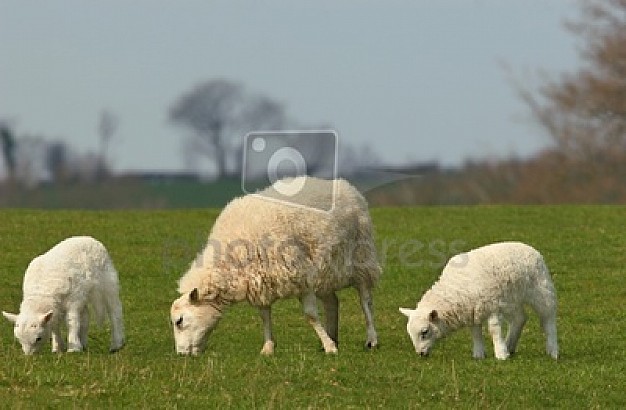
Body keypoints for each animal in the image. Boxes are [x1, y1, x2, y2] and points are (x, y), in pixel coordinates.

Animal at [168, 176, 378, 356]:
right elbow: (265, 317)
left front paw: (329, 347)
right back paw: (333, 336)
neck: (231, 260)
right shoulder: (260, 283)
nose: (181, 354)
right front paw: (268, 348)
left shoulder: (301, 276)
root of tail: (343, 184)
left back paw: (371, 339)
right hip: (323, 271)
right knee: (332, 302)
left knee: (365, 300)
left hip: (361, 258)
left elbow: (310, 315)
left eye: (179, 321)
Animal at [398, 242, 560, 360]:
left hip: (542, 290)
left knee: (548, 319)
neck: (455, 289)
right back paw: (510, 345)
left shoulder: (492, 304)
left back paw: (553, 351)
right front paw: (479, 354)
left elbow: (494, 330)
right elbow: (475, 332)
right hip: (510, 299)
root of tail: (527, 246)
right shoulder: (472, 310)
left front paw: (501, 354)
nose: (420, 354)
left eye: (424, 332)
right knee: (519, 319)